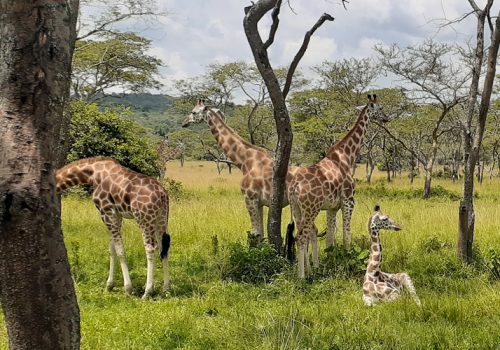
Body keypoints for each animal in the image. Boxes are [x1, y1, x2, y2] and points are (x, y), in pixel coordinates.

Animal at [56, 157, 171, 300]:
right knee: (163, 247)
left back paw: (147, 292)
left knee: (151, 248)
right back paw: (166, 289)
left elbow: (120, 250)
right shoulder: (116, 215)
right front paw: (109, 286)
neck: (92, 174)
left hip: (144, 219)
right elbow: (112, 249)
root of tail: (162, 193)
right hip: (161, 219)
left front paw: (128, 289)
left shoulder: (106, 212)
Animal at [288, 93, 388, 278]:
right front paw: (348, 261)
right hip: (311, 208)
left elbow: (330, 239)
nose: (387, 118)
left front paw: (329, 263)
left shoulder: (332, 207)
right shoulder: (349, 201)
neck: (346, 156)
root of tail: (295, 187)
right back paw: (302, 277)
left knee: (301, 234)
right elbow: (346, 234)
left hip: (296, 208)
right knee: (301, 236)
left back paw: (308, 271)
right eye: (380, 108)